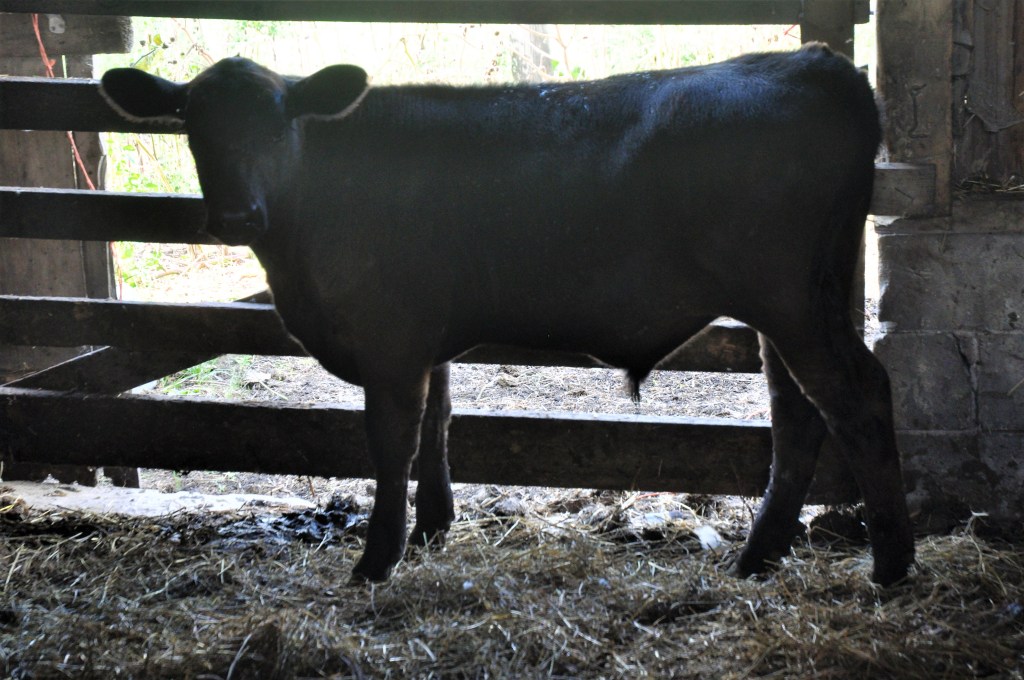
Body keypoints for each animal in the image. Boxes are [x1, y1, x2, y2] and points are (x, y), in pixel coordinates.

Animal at [100, 43, 915, 586]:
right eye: (192, 124)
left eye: (279, 122)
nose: (236, 214)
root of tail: (812, 61)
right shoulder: (424, 335)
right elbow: (439, 424)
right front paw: (432, 530)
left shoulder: (389, 338)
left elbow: (392, 443)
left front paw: (377, 559)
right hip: (795, 303)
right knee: (798, 414)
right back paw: (760, 557)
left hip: (791, 299)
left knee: (858, 397)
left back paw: (892, 566)